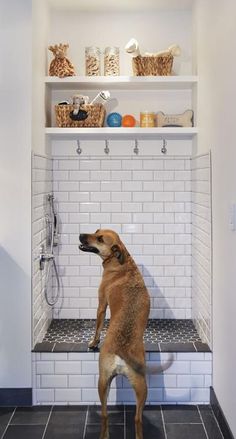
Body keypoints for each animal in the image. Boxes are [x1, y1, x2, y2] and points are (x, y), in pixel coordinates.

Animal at [79, 230, 171, 439]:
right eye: (96, 231)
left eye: (99, 239)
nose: (80, 235)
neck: (121, 263)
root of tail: (122, 351)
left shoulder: (101, 304)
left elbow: (98, 327)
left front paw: (93, 342)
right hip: (136, 386)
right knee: (135, 418)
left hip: (103, 381)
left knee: (106, 415)